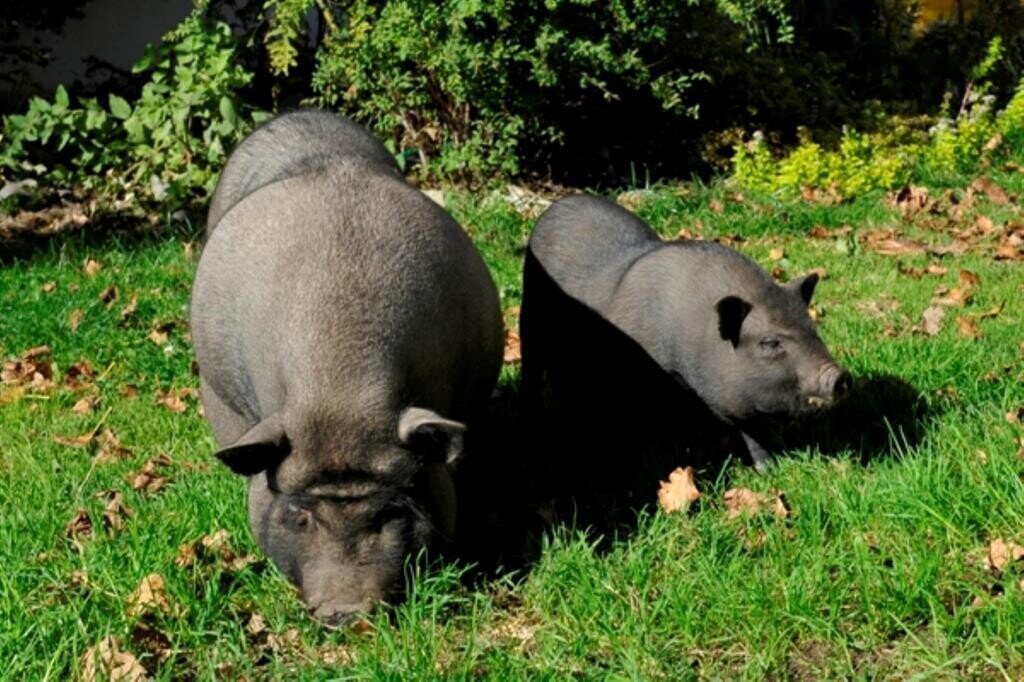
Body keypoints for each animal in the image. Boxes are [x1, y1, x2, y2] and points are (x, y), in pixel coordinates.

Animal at [520, 194, 850, 472]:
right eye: (769, 342)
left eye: (812, 328)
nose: (839, 376)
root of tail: (557, 205)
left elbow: (751, 433)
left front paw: (768, 469)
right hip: (529, 318)